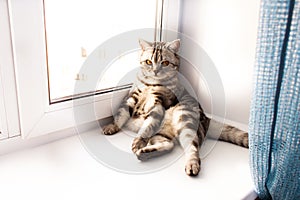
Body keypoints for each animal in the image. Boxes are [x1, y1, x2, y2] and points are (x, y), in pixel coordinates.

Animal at [102, 38, 247, 176]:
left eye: (165, 63)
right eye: (148, 62)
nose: (156, 71)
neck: (151, 84)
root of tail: (206, 118)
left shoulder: (158, 104)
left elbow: (147, 128)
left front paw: (138, 142)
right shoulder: (132, 97)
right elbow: (121, 114)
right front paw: (112, 127)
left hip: (185, 120)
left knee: (193, 149)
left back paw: (191, 165)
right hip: (161, 134)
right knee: (169, 144)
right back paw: (147, 152)